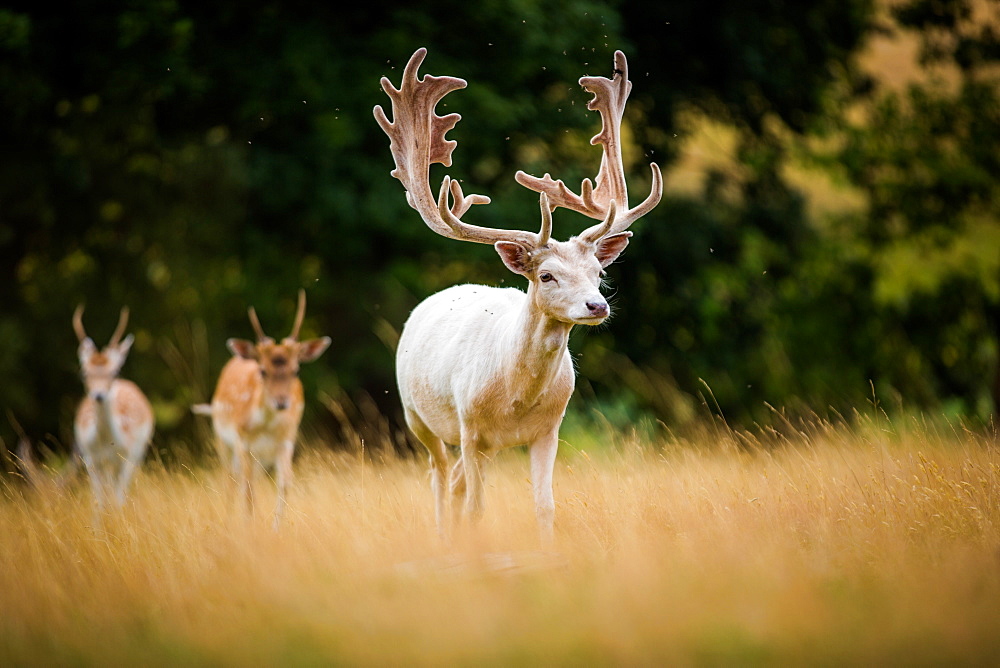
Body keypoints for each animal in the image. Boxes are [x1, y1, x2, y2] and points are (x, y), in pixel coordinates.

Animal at [73, 306, 155, 508]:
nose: (99, 395)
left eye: (115, 371)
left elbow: (118, 497)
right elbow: (99, 500)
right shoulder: (90, 459)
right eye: (84, 373)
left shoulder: (126, 457)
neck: (104, 441)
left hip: (137, 453)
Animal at [196, 290, 332, 528]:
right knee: (230, 481)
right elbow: (247, 489)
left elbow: (284, 482)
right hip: (223, 440)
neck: (266, 425)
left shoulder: (286, 440)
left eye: (296, 370)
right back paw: (230, 518)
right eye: (262, 371)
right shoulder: (242, 441)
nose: (282, 403)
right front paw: (248, 526)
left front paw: (276, 527)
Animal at [372, 48, 660, 544]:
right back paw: (443, 537)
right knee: (440, 478)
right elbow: (476, 508)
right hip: (417, 416)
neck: (515, 399)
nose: (597, 305)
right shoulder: (470, 429)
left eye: (599, 272)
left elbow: (545, 506)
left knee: (454, 482)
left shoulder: (549, 430)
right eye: (546, 275)